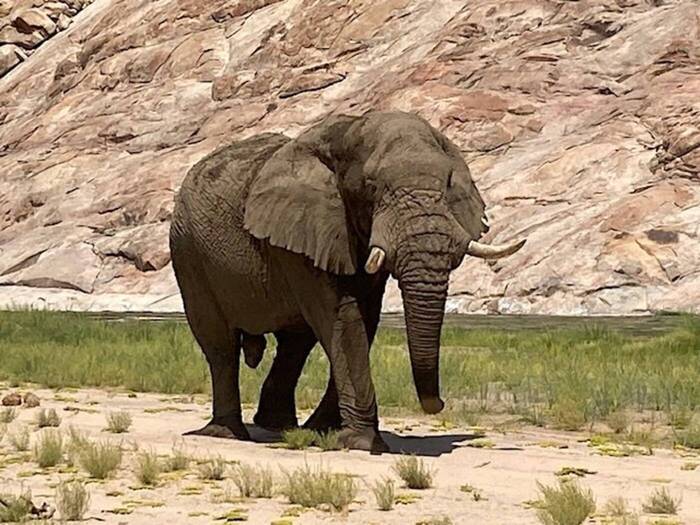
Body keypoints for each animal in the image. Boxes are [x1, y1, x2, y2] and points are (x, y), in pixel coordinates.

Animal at [169, 111, 525, 453]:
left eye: (450, 185)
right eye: (370, 187)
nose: (438, 404)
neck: (349, 131)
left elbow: (363, 319)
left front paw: (327, 434)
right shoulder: (307, 230)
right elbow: (343, 319)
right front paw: (360, 443)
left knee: (295, 344)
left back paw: (282, 427)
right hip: (188, 253)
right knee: (221, 346)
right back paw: (228, 433)